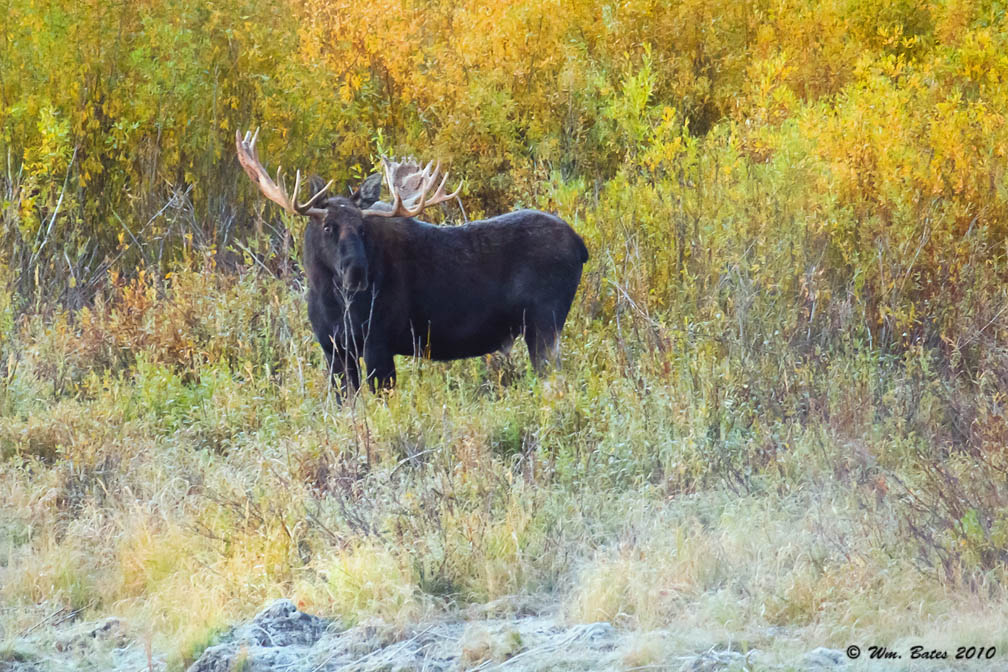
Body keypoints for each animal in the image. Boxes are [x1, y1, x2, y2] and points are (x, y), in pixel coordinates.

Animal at [234, 128, 588, 396]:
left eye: (362, 228)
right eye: (327, 227)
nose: (357, 273)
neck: (332, 302)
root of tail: (581, 246)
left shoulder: (378, 342)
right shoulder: (333, 349)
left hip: (544, 322)